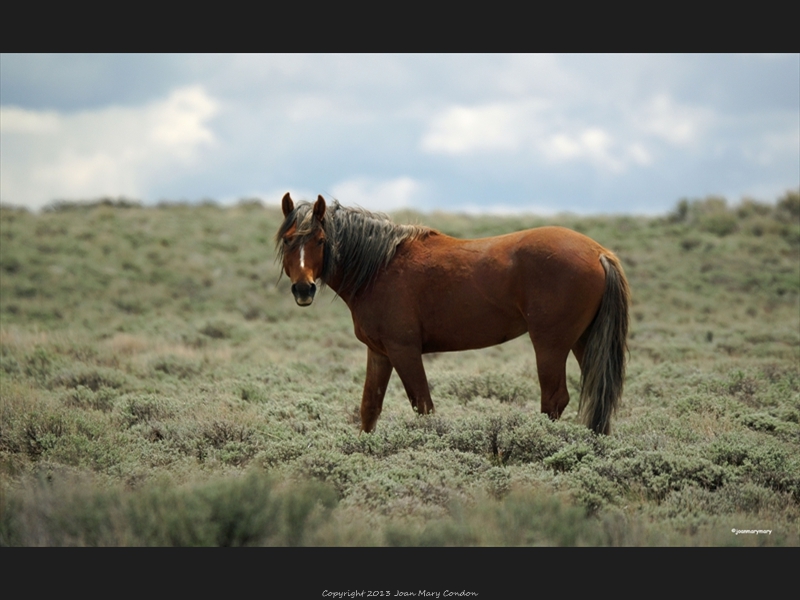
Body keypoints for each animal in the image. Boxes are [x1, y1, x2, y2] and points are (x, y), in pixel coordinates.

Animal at [276, 195, 632, 434]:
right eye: (289, 240)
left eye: (321, 240)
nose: (304, 289)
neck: (380, 267)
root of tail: (599, 252)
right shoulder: (379, 353)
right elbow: (369, 409)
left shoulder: (404, 351)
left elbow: (423, 406)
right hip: (583, 342)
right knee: (597, 396)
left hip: (550, 345)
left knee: (554, 399)